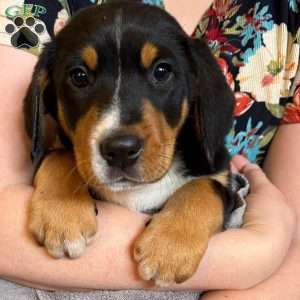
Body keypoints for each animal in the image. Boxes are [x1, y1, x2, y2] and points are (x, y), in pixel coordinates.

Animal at [23, 0, 234, 286]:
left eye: (162, 71)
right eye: (79, 76)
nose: (121, 150)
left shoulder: (226, 181)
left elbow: (204, 187)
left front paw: (169, 246)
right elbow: (59, 156)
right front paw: (62, 213)